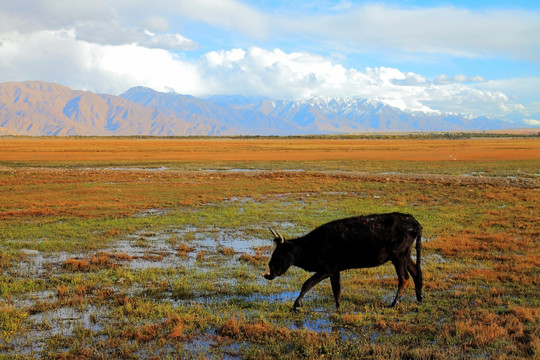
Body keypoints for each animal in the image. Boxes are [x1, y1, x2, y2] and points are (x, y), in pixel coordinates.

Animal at [264, 212, 424, 310]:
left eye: (278, 254)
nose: (267, 274)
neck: (317, 244)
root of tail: (412, 221)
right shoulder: (335, 270)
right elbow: (337, 290)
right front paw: (338, 307)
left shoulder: (327, 269)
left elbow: (307, 284)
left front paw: (296, 305)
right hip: (406, 255)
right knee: (416, 273)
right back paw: (419, 299)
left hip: (399, 257)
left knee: (404, 278)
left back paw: (394, 303)